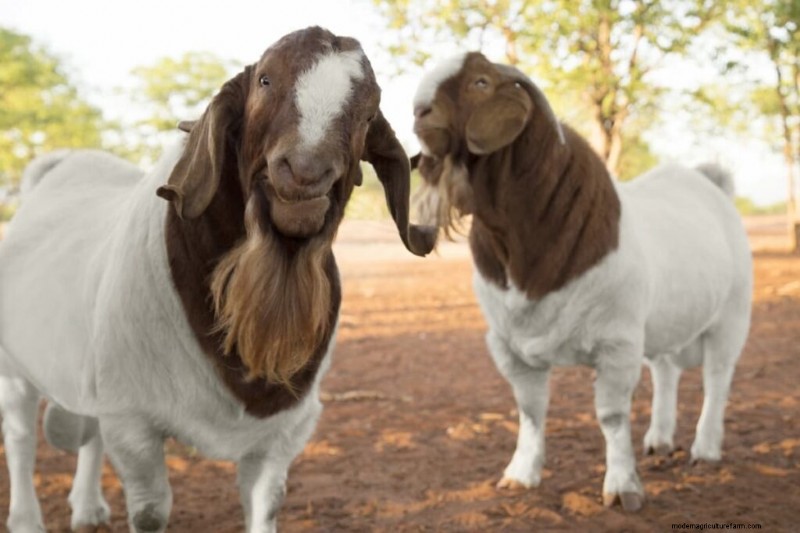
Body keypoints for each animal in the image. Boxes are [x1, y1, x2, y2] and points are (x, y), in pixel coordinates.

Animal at [0, 26, 435, 533]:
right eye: (265, 80)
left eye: (368, 112)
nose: (305, 172)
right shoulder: (133, 420)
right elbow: (149, 511)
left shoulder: (285, 432)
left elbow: (265, 504)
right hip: (16, 369)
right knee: (20, 437)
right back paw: (27, 518)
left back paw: (88, 508)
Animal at [411, 52, 752, 512]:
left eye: (480, 82)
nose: (418, 111)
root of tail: (710, 183)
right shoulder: (509, 346)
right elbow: (530, 410)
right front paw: (520, 475)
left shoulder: (617, 343)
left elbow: (611, 416)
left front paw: (623, 488)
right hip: (664, 320)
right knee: (666, 371)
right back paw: (659, 440)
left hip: (731, 317)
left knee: (717, 377)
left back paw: (706, 449)